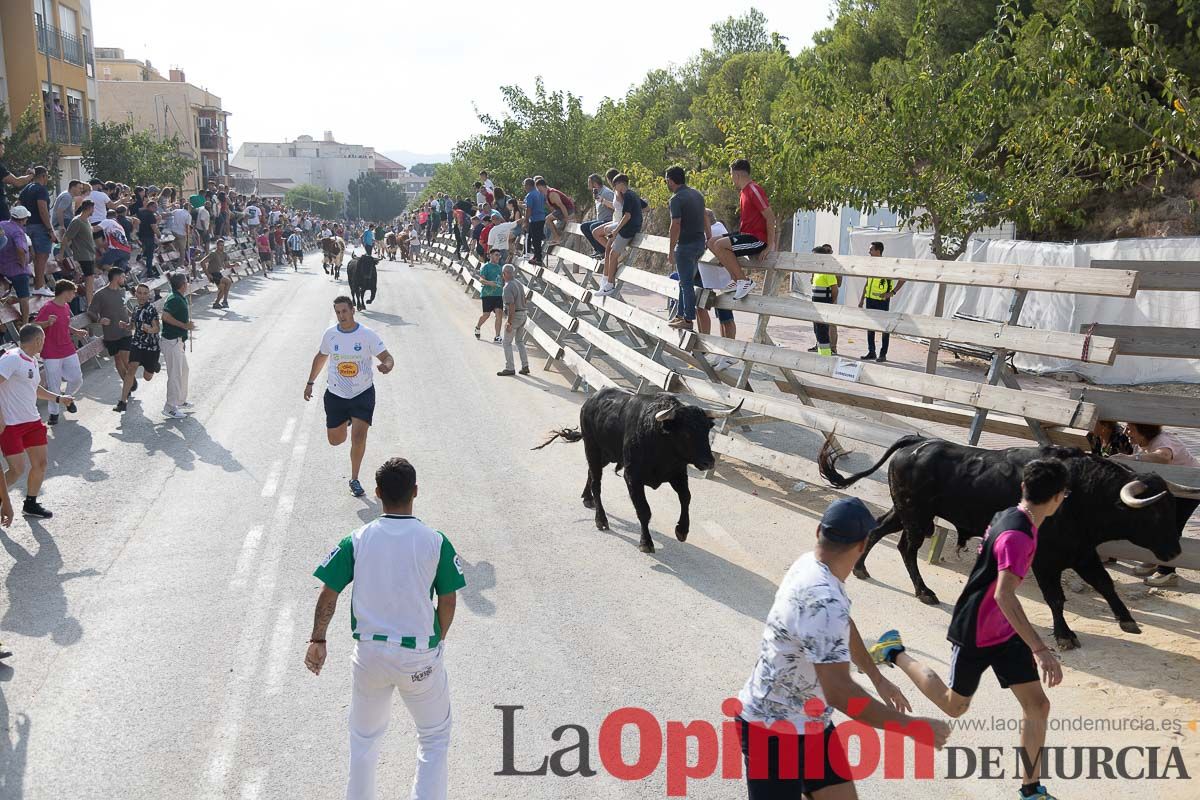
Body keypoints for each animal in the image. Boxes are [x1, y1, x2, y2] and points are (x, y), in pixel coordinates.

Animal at [537, 388, 739, 554]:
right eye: (686, 433)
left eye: (706, 430)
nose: (709, 462)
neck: (660, 442)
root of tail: (591, 400)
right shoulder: (632, 477)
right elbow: (644, 510)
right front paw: (646, 543)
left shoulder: (678, 474)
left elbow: (686, 498)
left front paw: (682, 530)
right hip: (592, 447)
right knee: (596, 483)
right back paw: (601, 519)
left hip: (607, 454)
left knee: (591, 473)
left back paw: (587, 498)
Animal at [816, 438, 1190, 652]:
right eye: (1153, 513)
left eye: (1173, 508)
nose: (1174, 552)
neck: (1082, 494)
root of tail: (916, 442)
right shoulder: (1046, 559)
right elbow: (1057, 597)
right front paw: (1065, 635)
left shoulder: (1082, 552)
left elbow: (1105, 583)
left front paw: (1127, 621)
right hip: (918, 517)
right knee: (906, 547)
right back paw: (924, 592)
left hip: (906, 511)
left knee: (879, 529)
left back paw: (862, 568)